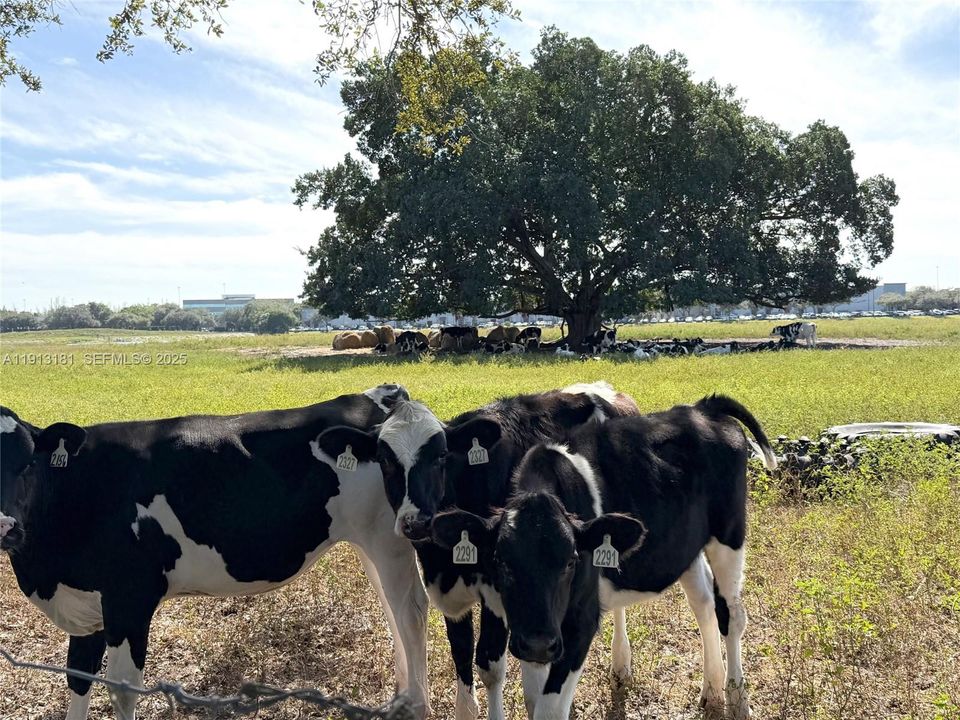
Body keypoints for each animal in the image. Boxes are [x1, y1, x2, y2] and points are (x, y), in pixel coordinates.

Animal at [0, 385, 429, 720]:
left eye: (30, 462)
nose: (5, 527)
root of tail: (383, 395)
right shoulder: (87, 605)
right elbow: (78, 677)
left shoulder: (130, 597)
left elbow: (121, 689)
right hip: (368, 542)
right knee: (391, 608)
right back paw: (400, 698)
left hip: (389, 538)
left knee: (410, 611)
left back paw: (415, 705)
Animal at [316, 382, 639, 720]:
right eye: (384, 460)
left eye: (441, 455)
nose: (415, 522)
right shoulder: (447, 591)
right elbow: (461, 651)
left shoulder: (498, 592)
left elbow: (490, 665)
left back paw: (620, 665)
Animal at [432, 395, 778, 720]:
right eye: (500, 561)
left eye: (572, 561)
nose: (538, 644)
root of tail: (704, 408)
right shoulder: (525, 623)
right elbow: (533, 699)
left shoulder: (578, 623)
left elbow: (549, 710)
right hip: (685, 543)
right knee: (703, 603)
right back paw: (712, 691)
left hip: (729, 534)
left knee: (730, 615)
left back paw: (737, 702)